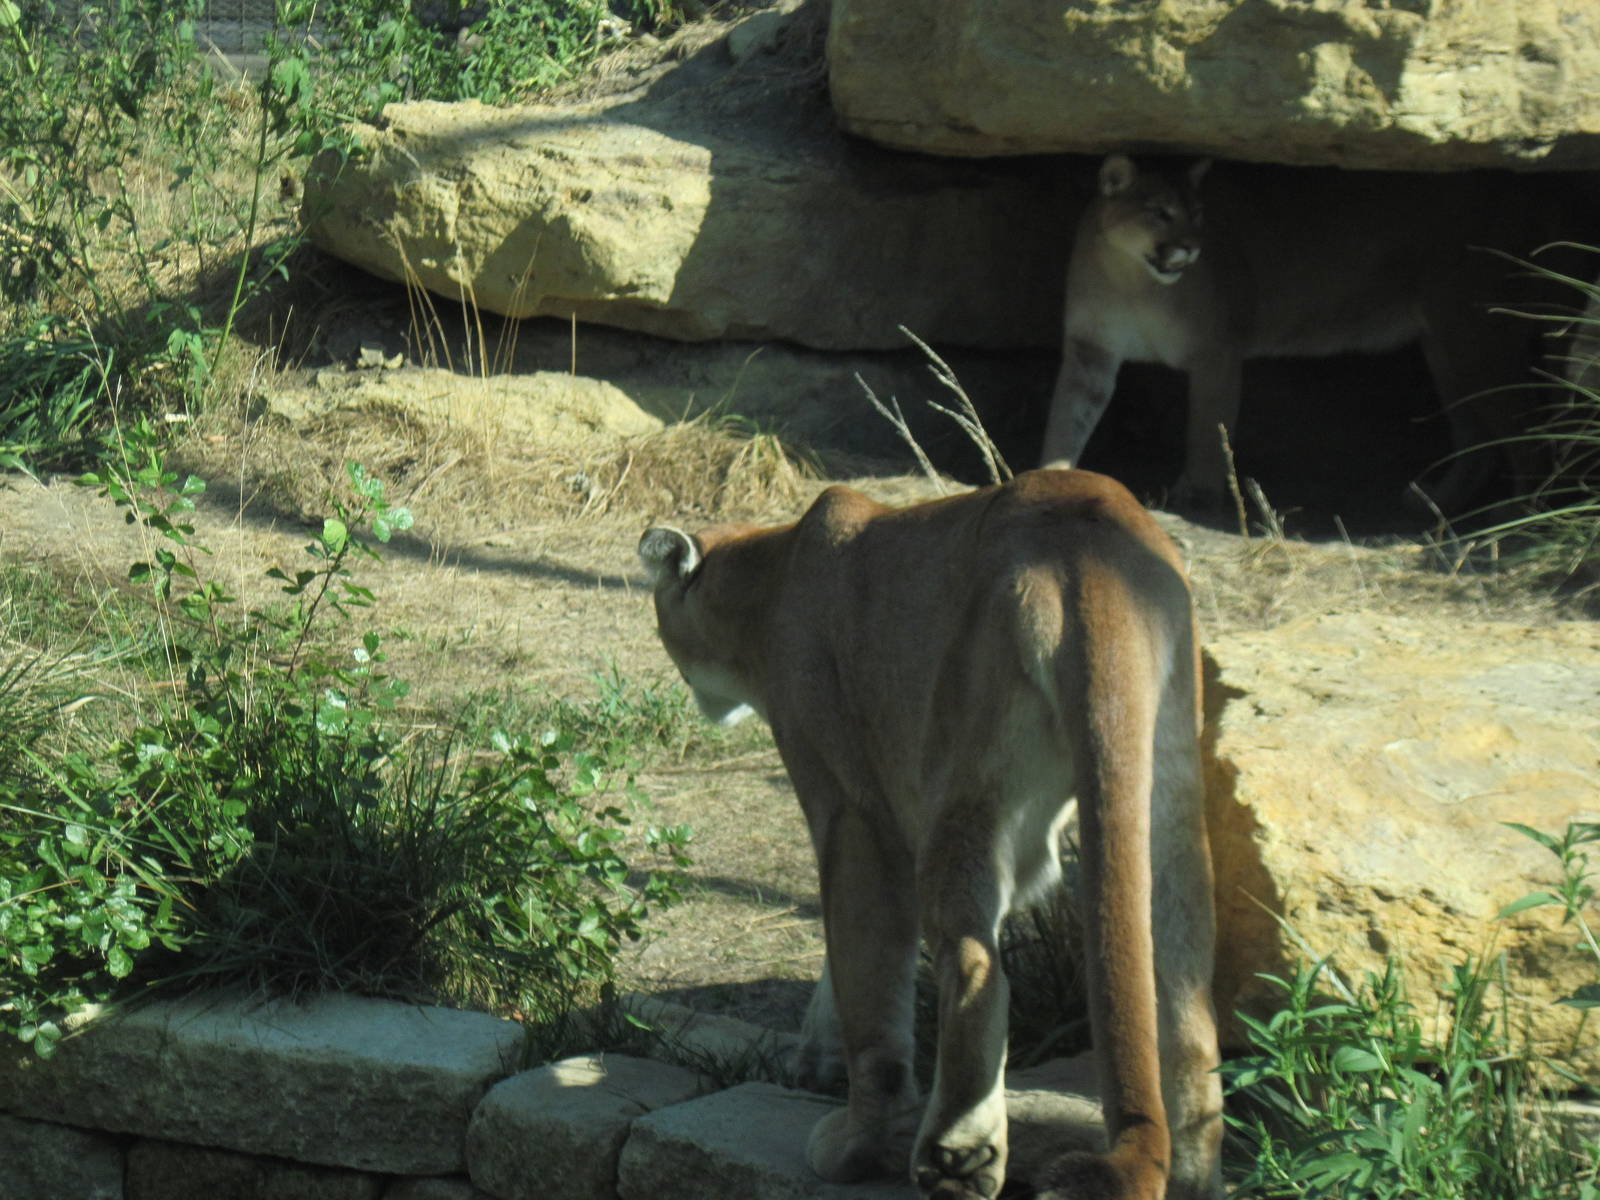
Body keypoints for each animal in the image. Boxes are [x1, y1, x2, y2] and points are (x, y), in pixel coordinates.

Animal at [639, 468, 1222, 1200]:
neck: (769, 578)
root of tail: (1087, 532)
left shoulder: (850, 806)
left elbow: (868, 971)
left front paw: (861, 1140)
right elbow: (846, 960)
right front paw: (817, 1062)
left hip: (966, 782)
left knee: (975, 966)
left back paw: (956, 1153)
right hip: (1167, 784)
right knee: (1184, 981)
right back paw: (1197, 1172)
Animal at [1044, 153, 1565, 511]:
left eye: (1198, 214)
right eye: (1158, 211)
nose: (1191, 248)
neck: (1131, 278)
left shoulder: (1217, 353)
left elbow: (1207, 431)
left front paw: (1197, 494)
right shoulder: (1090, 353)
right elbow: (1068, 419)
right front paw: (1049, 474)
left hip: (1477, 336)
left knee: (1529, 438)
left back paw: (1518, 519)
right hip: (1446, 347)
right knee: (1479, 439)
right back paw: (1436, 503)